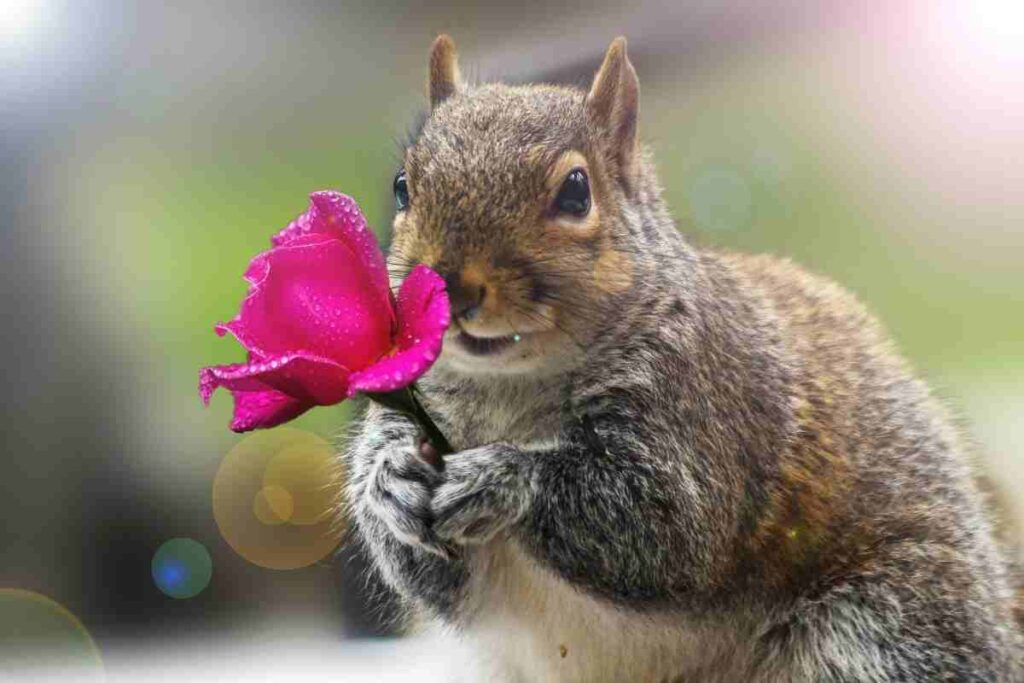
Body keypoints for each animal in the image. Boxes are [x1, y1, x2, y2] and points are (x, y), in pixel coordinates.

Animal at [345, 35, 1023, 681]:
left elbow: (667, 527)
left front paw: (499, 477)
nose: (450, 285)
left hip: (882, 627)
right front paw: (389, 481)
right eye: (402, 186)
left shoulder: (708, 407)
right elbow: (433, 580)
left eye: (576, 192)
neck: (509, 390)